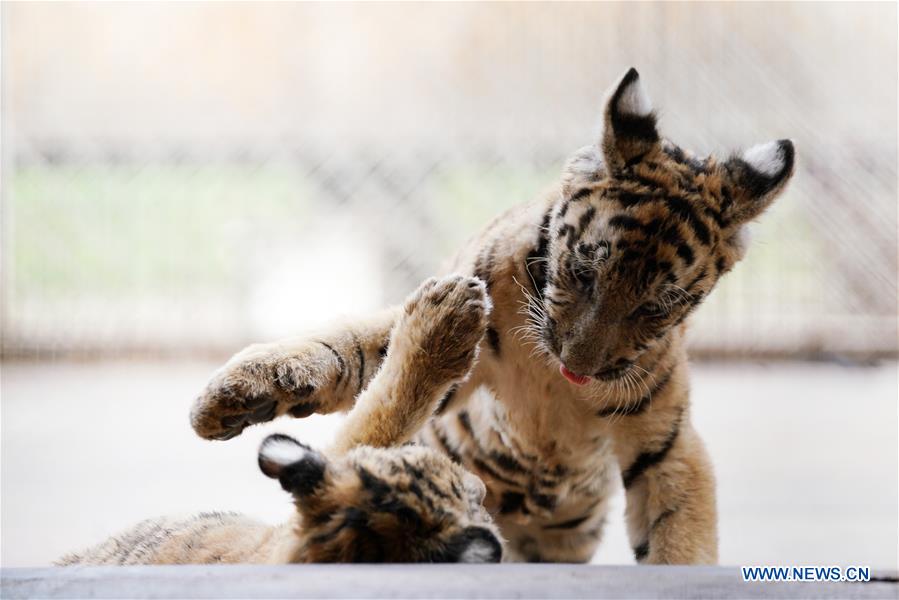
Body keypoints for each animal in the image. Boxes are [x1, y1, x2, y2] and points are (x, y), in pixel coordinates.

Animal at [190, 68, 795, 564]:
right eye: (583, 272)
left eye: (656, 306)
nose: (579, 368)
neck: (554, 382)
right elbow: (354, 351)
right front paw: (230, 399)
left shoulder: (666, 443)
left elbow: (678, 534)